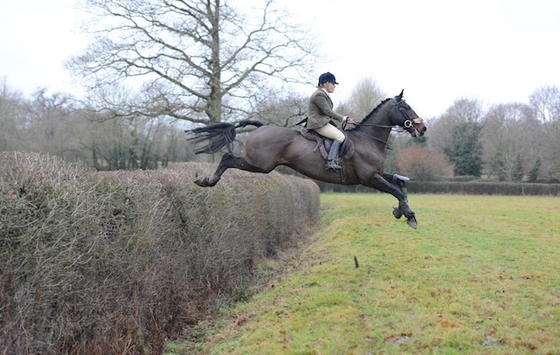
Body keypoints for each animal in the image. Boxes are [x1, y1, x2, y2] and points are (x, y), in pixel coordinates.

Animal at [186, 89, 426, 228]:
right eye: (405, 107)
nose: (422, 128)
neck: (368, 140)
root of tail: (262, 127)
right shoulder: (369, 178)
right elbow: (397, 190)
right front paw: (410, 216)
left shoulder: (378, 174)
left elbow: (401, 186)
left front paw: (402, 211)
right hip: (260, 165)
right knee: (227, 157)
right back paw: (207, 181)